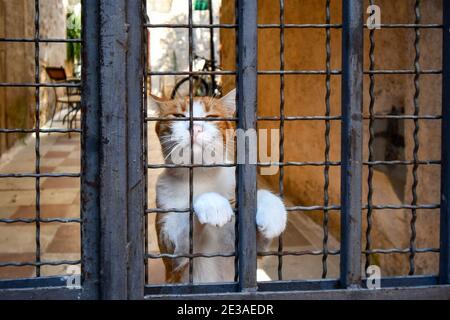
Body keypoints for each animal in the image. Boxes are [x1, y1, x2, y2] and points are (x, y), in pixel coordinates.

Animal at [150, 88, 284, 282]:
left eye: (211, 117)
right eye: (178, 116)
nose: (195, 128)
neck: (201, 176)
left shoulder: (250, 253)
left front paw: (272, 210)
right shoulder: (172, 259)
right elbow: (180, 240)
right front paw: (213, 204)